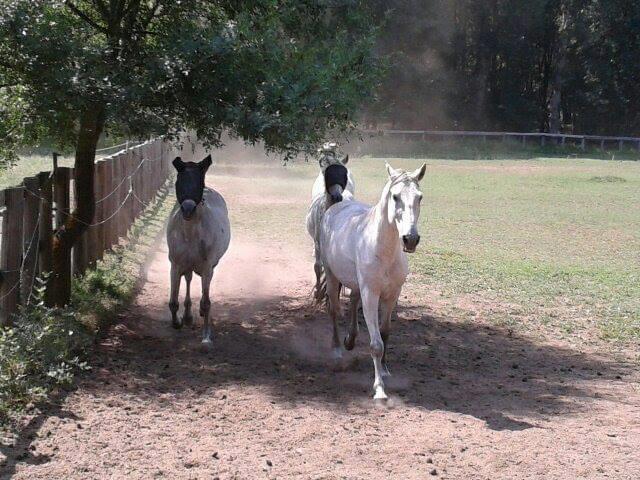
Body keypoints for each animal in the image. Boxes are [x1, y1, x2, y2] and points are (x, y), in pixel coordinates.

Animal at [168, 155, 230, 344]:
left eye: (199, 182)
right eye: (179, 181)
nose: (188, 209)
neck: (190, 234)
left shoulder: (207, 266)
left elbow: (207, 302)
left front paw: (206, 337)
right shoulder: (175, 265)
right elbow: (173, 302)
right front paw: (177, 322)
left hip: (210, 266)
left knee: (204, 283)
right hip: (186, 265)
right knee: (188, 279)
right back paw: (188, 316)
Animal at [320, 163, 424, 400]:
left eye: (420, 197)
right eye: (395, 196)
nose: (410, 239)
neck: (383, 251)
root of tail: (337, 206)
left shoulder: (392, 294)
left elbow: (385, 333)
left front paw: (385, 371)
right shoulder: (371, 293)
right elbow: (376, 344)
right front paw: (379, 390)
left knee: (352, 303)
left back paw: (350, 340)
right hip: (331, 276)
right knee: (334, 310)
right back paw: (337, 350)